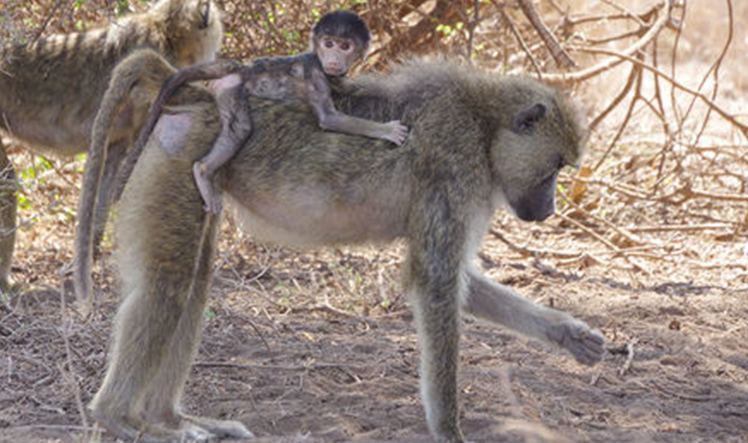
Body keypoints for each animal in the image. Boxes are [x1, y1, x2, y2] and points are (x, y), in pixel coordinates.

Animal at [87, 50, 605, 443]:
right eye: (555, 167)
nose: (549, 209)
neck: (483, 122)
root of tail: (196, 95)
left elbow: (462, 282)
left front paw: (570, 334)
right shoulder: (454, 165)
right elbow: (436, 282)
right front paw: (448, 430)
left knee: (193, 285)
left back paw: (172, 418)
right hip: (183, 156)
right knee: (169, 284)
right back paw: (122, 419)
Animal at [129, 9, 409, 214]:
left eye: (345, 46)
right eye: (328, 43)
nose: (333, 58)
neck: (319, 61)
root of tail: (242, 68)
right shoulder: (316, 74)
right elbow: (329, 119)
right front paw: (387, 130)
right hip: (230, 88)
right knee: (240, 129)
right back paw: (203, 171)